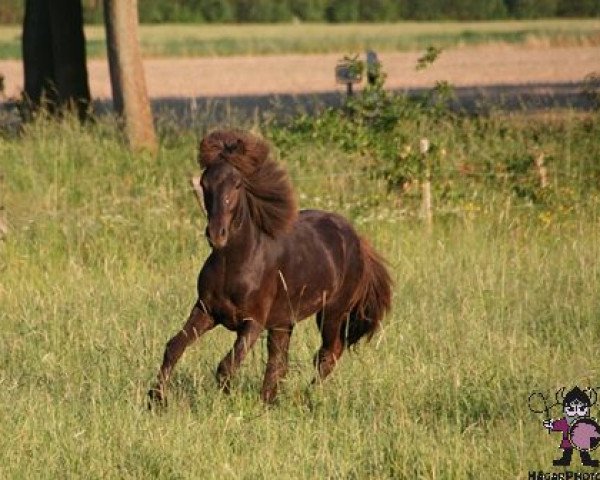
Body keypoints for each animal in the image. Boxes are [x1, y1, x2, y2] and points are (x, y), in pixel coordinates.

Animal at [149, 128, 394, 404]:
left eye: (237, 184)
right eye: (204, 183)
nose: (216, 234)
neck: (234, 263)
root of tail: (357, 239)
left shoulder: (252, 322)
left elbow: (226, 366)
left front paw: (224, 401)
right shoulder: (206, 311)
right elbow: (174, 347)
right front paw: (155, 398)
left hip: (332, 312)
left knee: (328, 354)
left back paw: (304, 397)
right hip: (283, 321)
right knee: (280, 363)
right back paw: (269, 400)